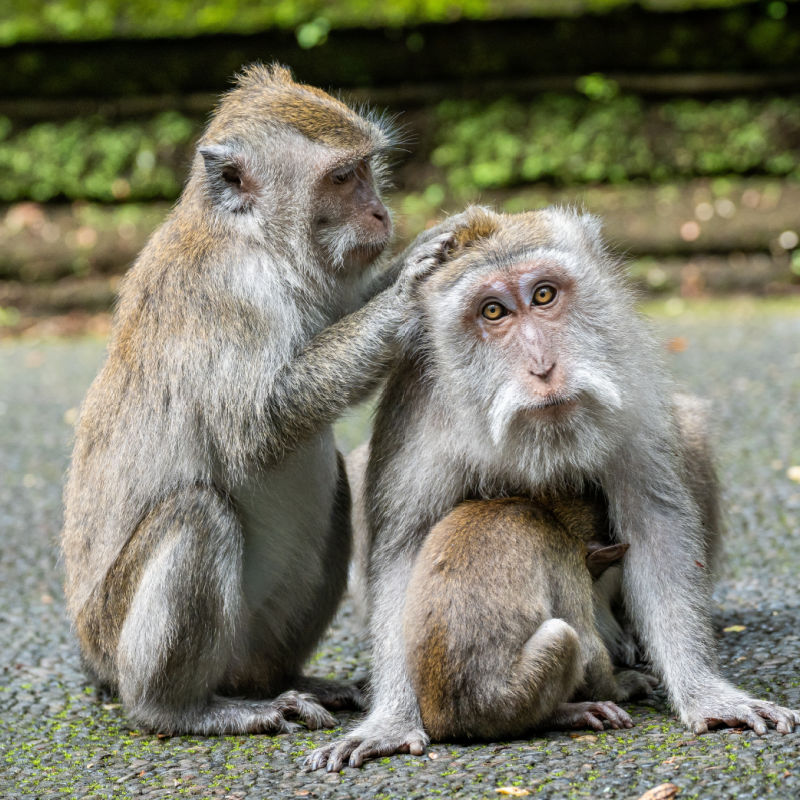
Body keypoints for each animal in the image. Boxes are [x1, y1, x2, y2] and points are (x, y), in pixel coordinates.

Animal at [60, 63, 461, 736]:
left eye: (367, 170)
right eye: (341, 178)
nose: (380, 214)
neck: (254, 238)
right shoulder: (231, 296)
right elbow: (257, 426)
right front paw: (406, 294)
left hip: (252, 641)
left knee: (334, 493)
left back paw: (288, 679)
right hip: (116, 641)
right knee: (198, 515)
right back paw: (181, 708)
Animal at [404, 495, 657, 742]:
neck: (552, 514)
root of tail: (441, 722)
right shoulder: (567, 556)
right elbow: (587, 646)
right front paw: (622, 686)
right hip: (503, 705)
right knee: (563, 636)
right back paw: (561, 714)